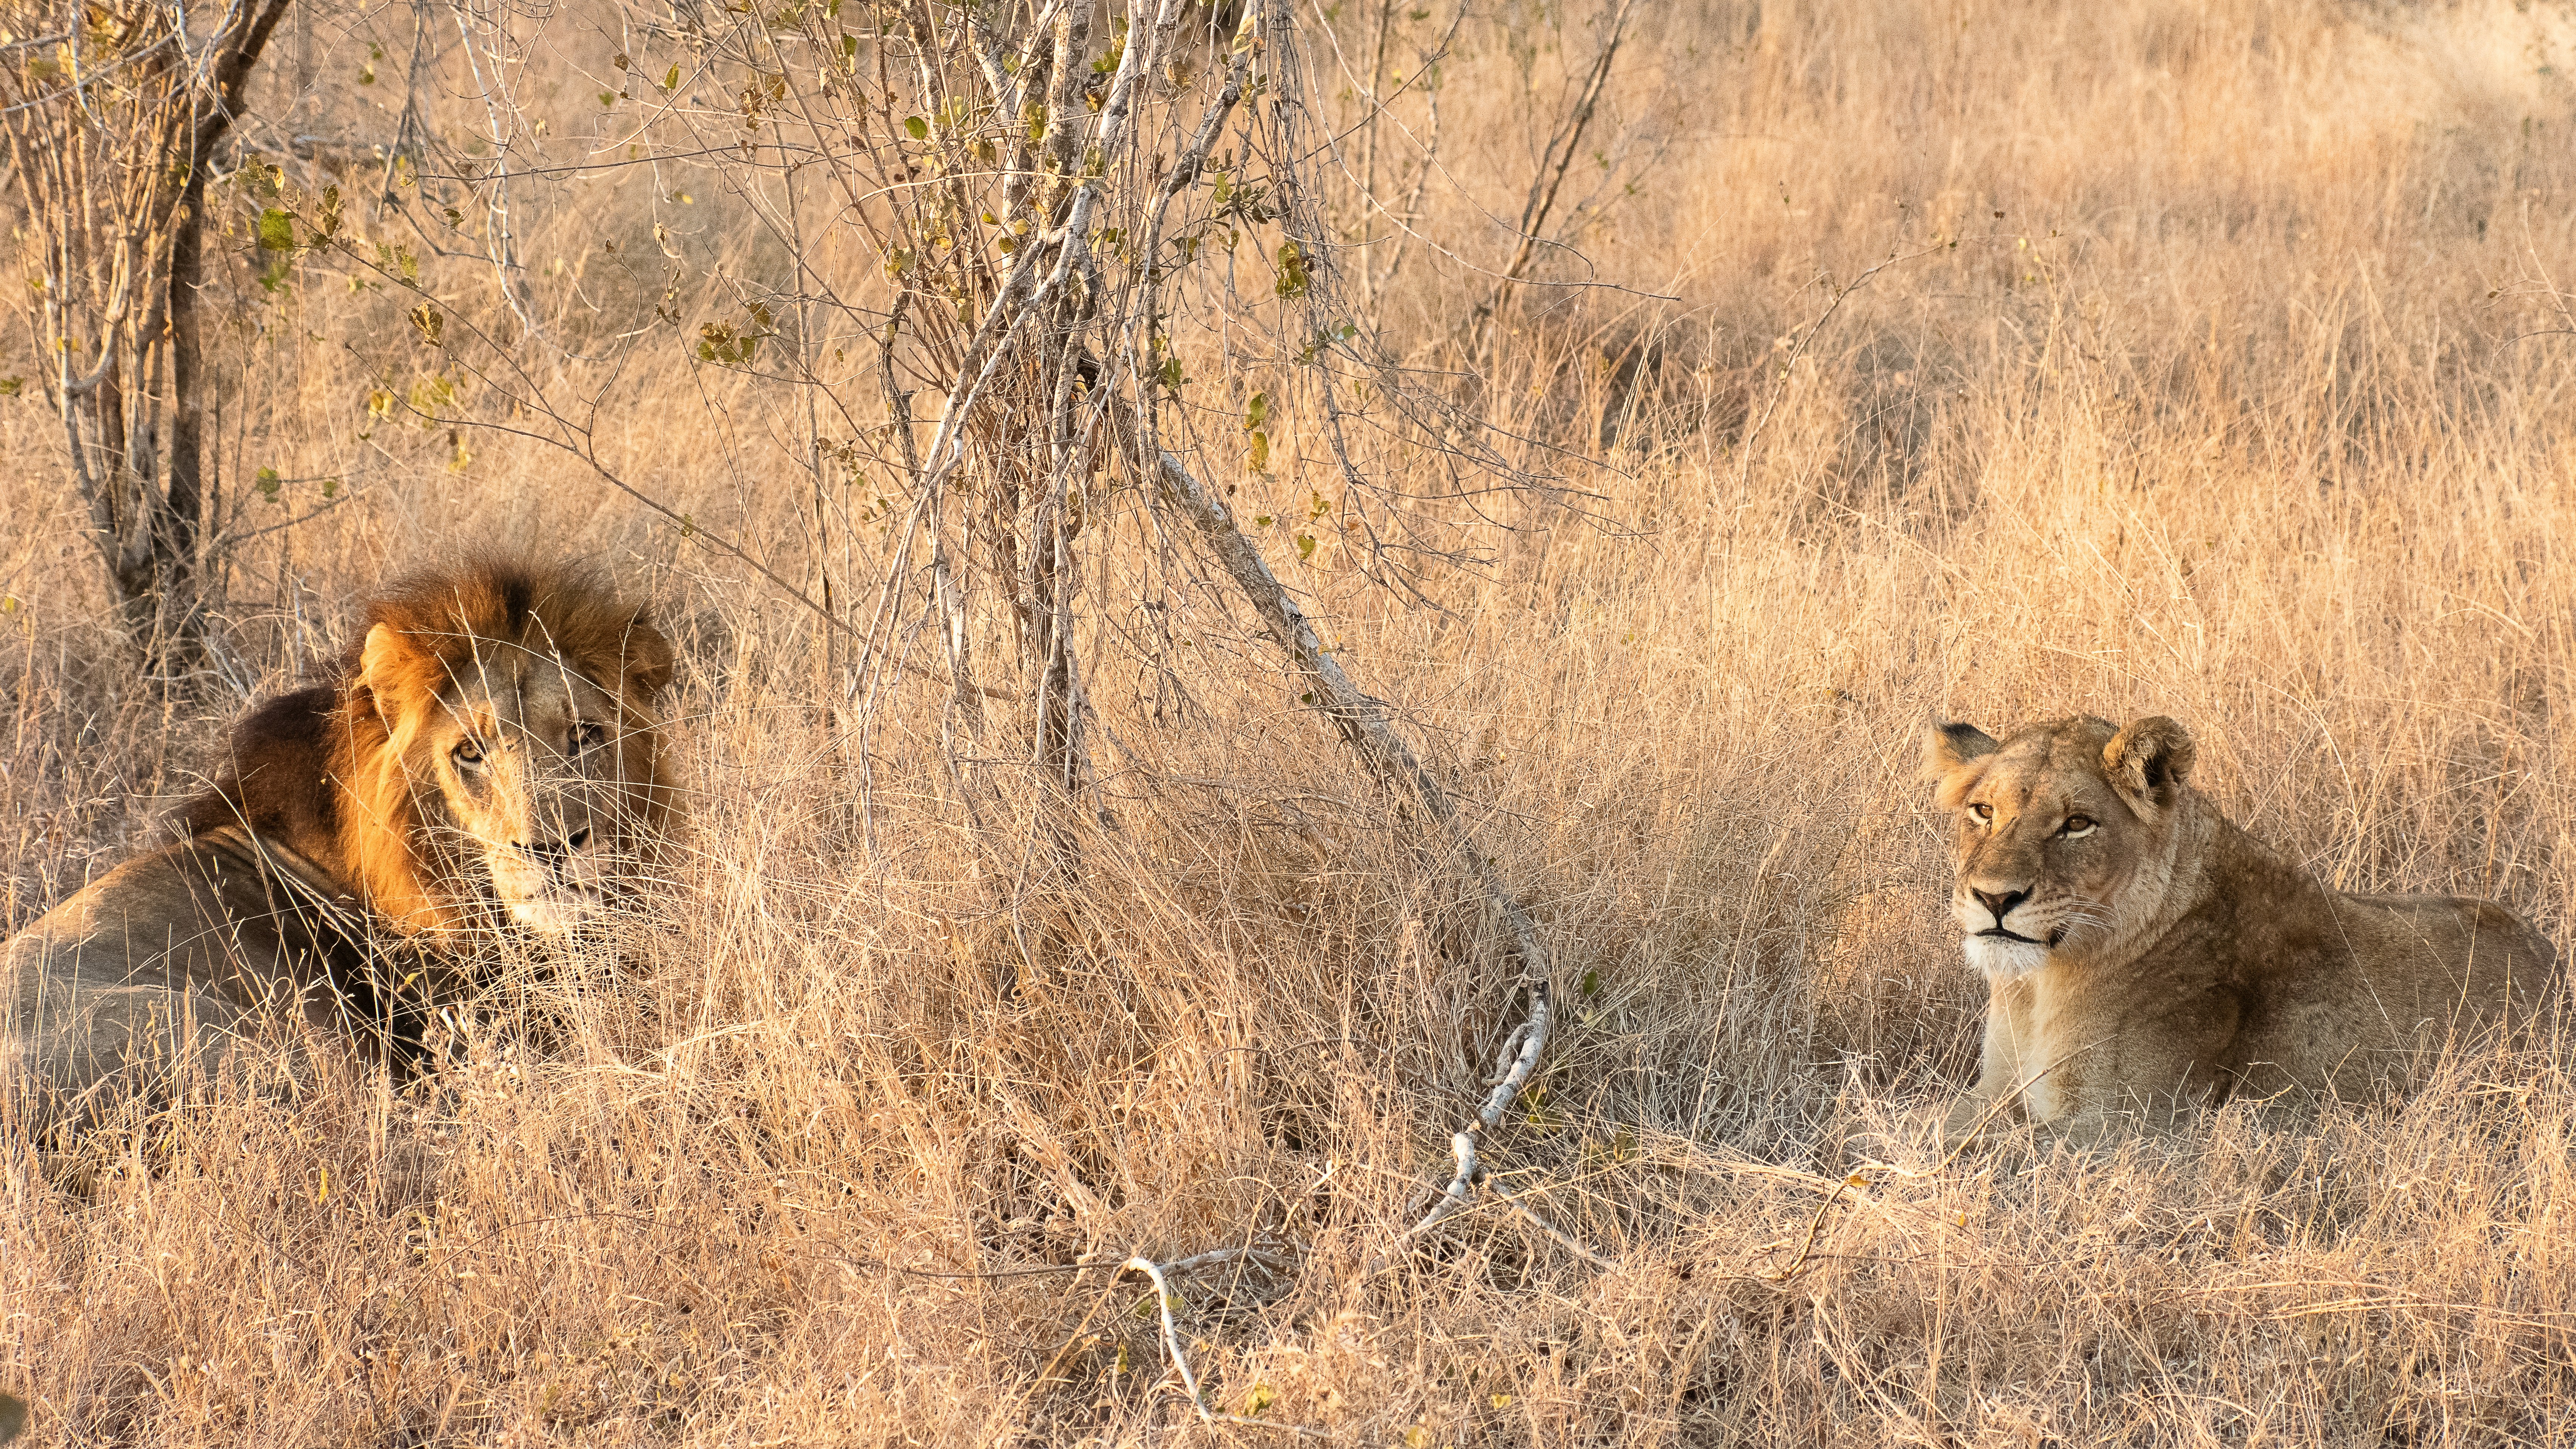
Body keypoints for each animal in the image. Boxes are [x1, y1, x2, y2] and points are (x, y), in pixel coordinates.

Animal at [1925, 714, 2555, 1146]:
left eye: (2076, 823)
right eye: (1983, 811)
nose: (1994, 897)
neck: (2037, 988)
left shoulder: (2134, 1126)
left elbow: (1977, 1149)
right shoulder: (1991, 1088)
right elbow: (1931, 1124)